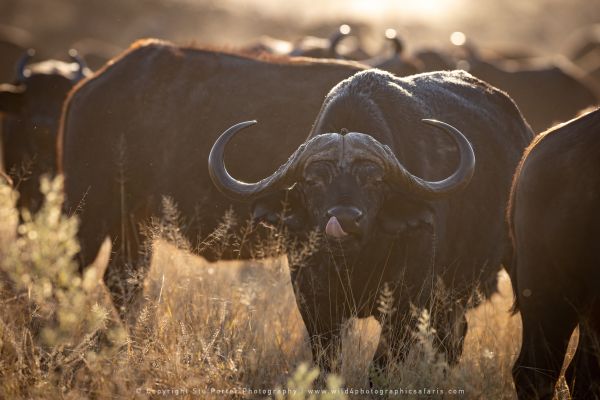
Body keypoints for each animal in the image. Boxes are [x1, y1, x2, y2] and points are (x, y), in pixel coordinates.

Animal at [209, 69, 532, 372]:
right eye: (313, 181)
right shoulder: (314, 303)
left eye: (374, 181)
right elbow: (326, 363)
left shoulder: (404, 307)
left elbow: (380, 368)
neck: (357, 262)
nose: (345, 219)